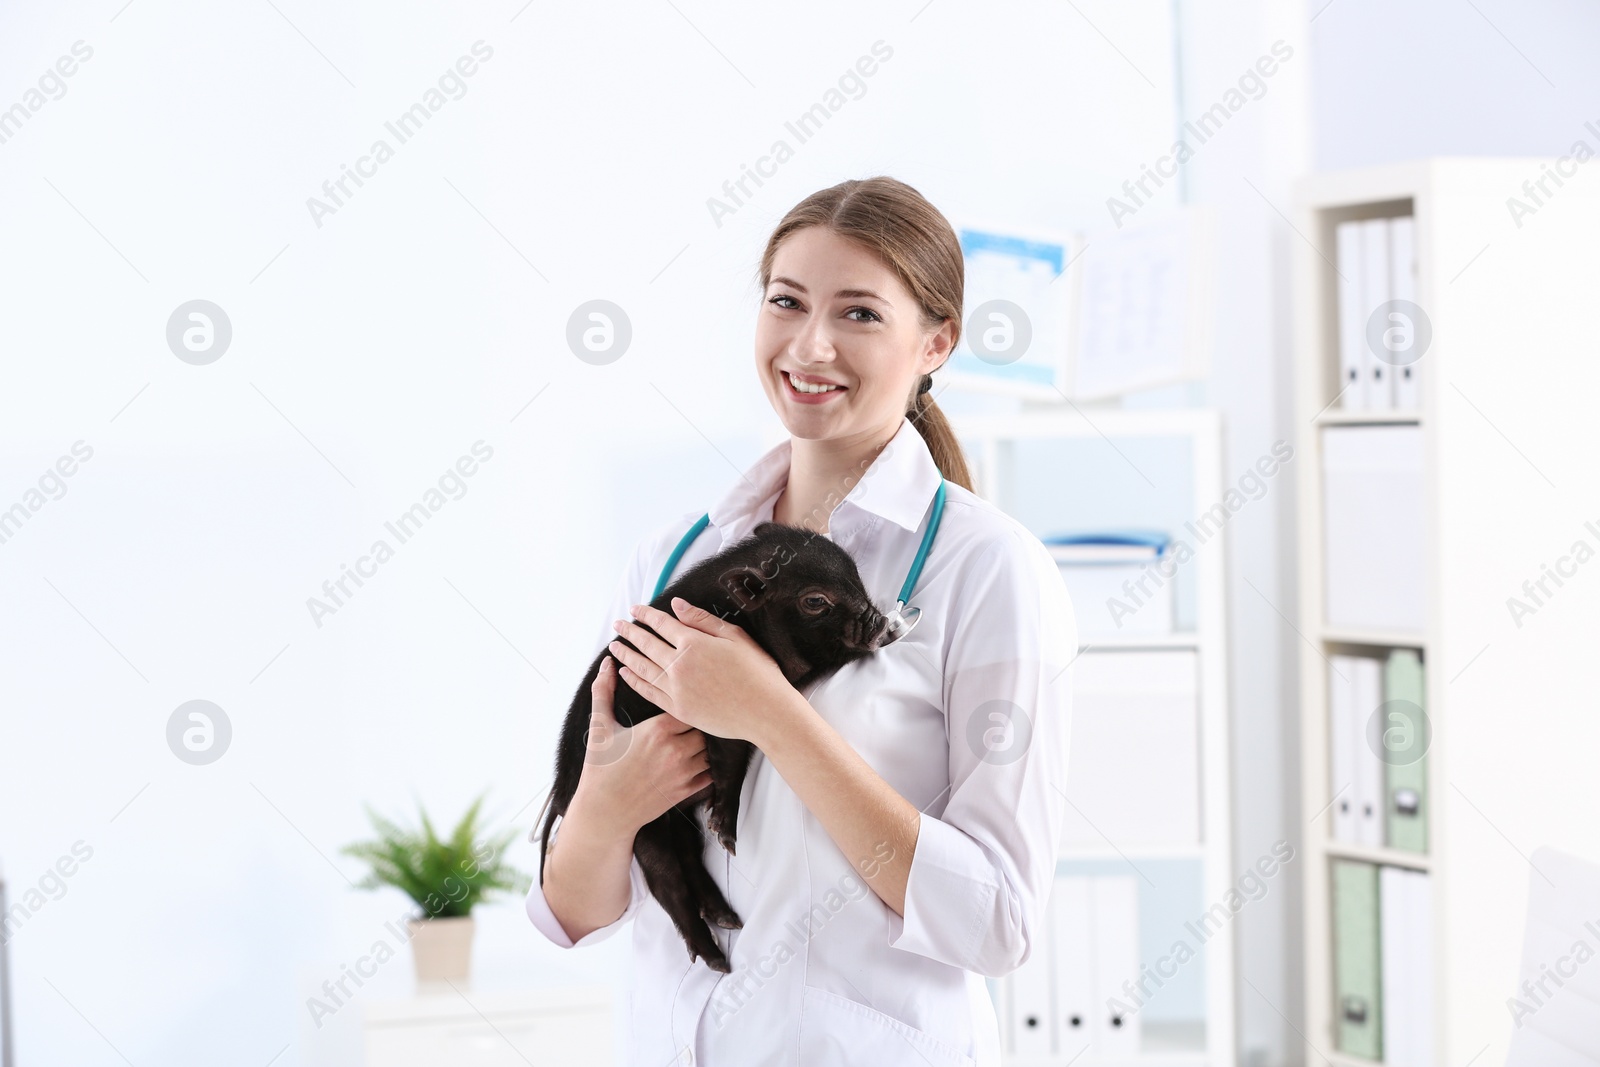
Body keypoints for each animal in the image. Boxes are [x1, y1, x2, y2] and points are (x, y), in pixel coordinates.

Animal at [534, 521, 889, 972]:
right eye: (815, 601)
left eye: (857, 577)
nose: (881, 623)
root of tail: (563, 792)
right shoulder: (718, 727)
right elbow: (730, 763)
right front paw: (730, 838)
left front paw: (726, 838)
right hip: (641, 827)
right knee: (667, 886)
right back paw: (718, 958)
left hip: (676, 820)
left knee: (690, 859)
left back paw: (727, 919)